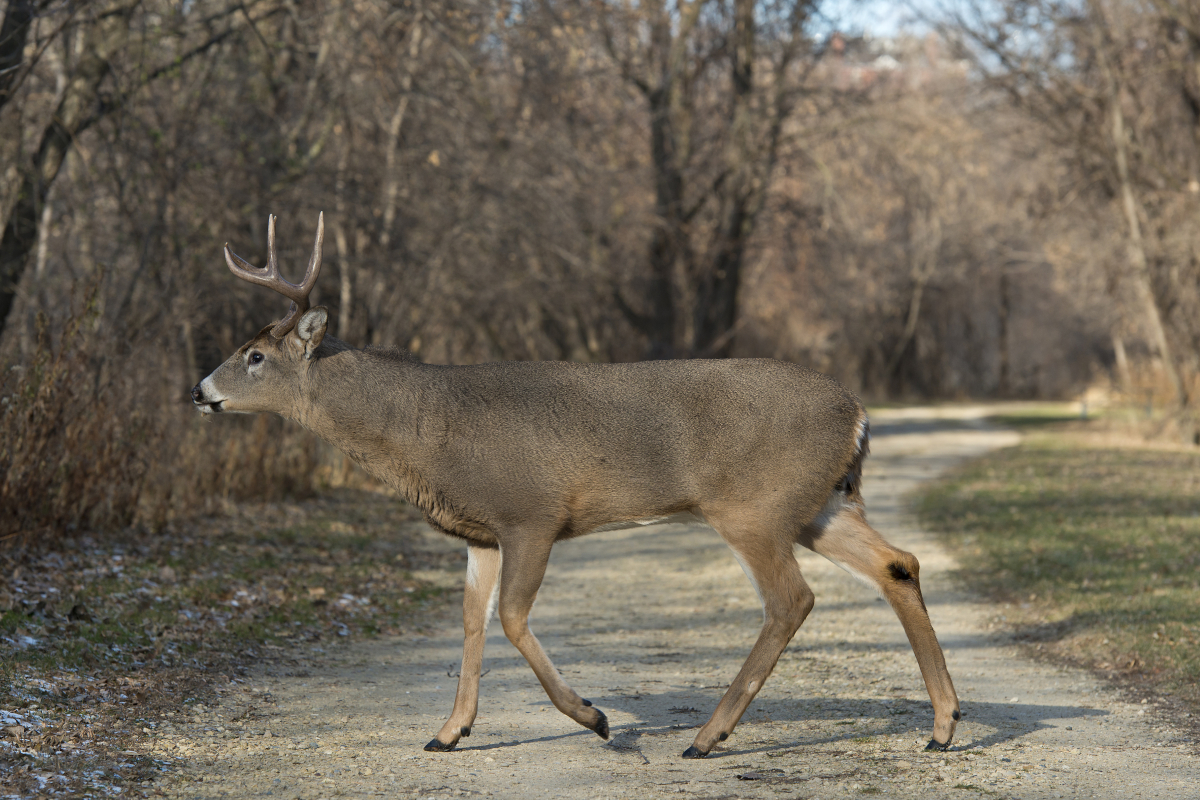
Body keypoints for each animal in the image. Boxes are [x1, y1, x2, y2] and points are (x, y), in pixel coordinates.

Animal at [192, 212, 960, 758]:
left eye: (253, 355)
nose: (200, 390)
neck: (427, 429)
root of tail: (858, 413)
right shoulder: (479, 533)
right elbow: (470, 620)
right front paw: (449, 731)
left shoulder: (532, 514)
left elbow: (510, 617)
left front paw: (593, 717)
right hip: (820, 503)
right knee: (898, 564)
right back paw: (943, 725)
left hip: (754, 507)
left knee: (791, 600)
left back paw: (707, 737)